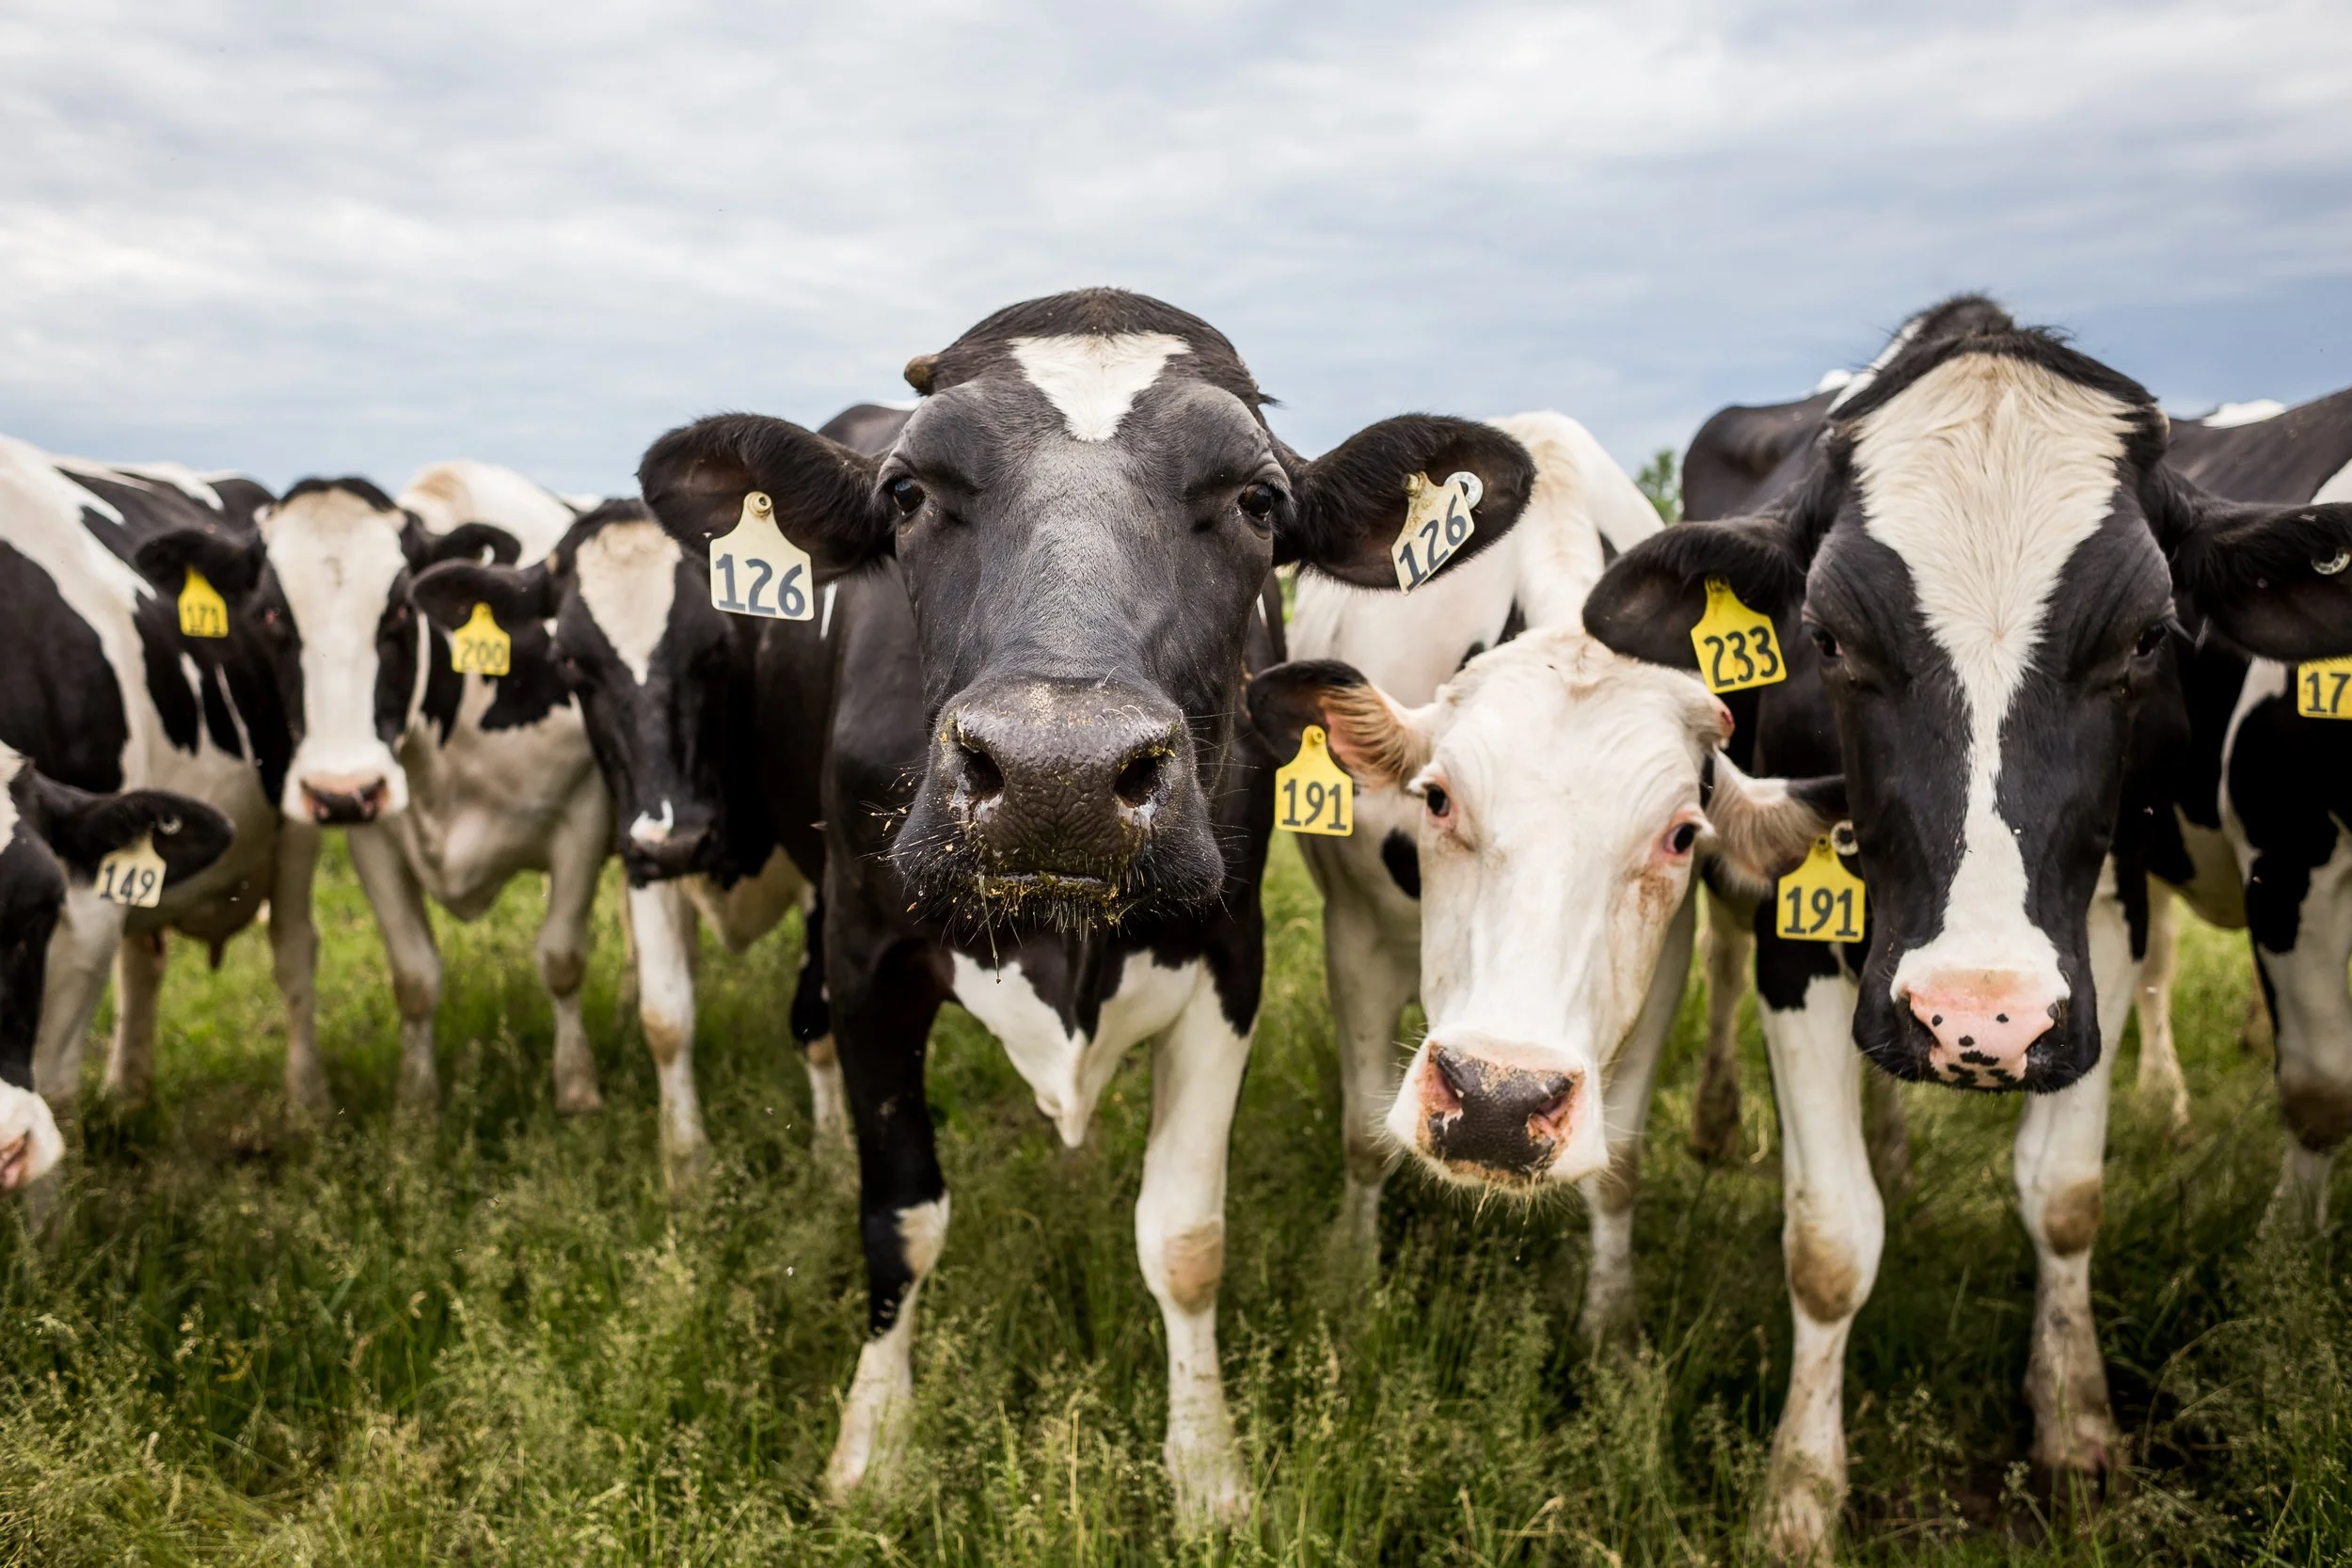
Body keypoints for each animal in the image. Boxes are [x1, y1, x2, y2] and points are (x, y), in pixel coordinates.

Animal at [140, 462, 615, 1115]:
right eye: (271, 616)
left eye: (398, 613)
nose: (341, 790)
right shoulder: (373, 835)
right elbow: (414, 976)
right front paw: (416, 1106)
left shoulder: (583, 818)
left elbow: (562, 959)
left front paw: (578, 1091)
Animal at [635, 288, 1535, 1525]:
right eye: (907, 493)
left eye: (1257, 500)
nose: (1055, 773)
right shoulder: (871, 953)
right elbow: (900, 1217)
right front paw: (872, 1446)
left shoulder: (1228, 957)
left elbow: (1187, 1237)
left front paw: (1207, 1471)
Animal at [1275, 411, 1666, 1275]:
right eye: (1438, 796)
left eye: (1681, 833)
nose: (1500, 1102)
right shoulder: (1355, 932)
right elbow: (1364, 1139)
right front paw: (1348, 1275)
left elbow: (1620, 1171)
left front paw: (1614, 1310)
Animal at [1571, 304, 2352, 1557]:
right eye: (1826, 635)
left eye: (2149, 636)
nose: (1974, 1017)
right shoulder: (1802, 937)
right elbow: (1830, 1241)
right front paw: (1799, 1492)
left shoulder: (2102, 926)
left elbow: (2066, 1194)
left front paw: (2075, 1423)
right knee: (1725, 970)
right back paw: (1718, 1120)